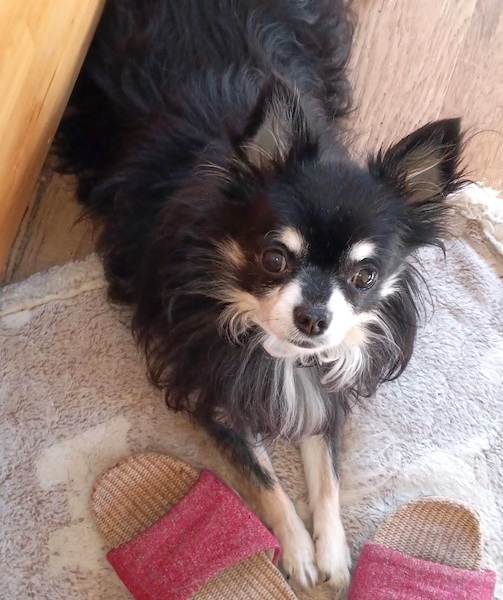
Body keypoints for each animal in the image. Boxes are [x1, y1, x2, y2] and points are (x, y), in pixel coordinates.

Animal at [55, 0, 465, 589]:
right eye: (274, 259)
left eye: (364, 277)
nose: (314, 317)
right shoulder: (206, 387)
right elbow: (264, 478)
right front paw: (296, 552)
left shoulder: (323, 390)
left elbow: (327, 473)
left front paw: (333, 554)